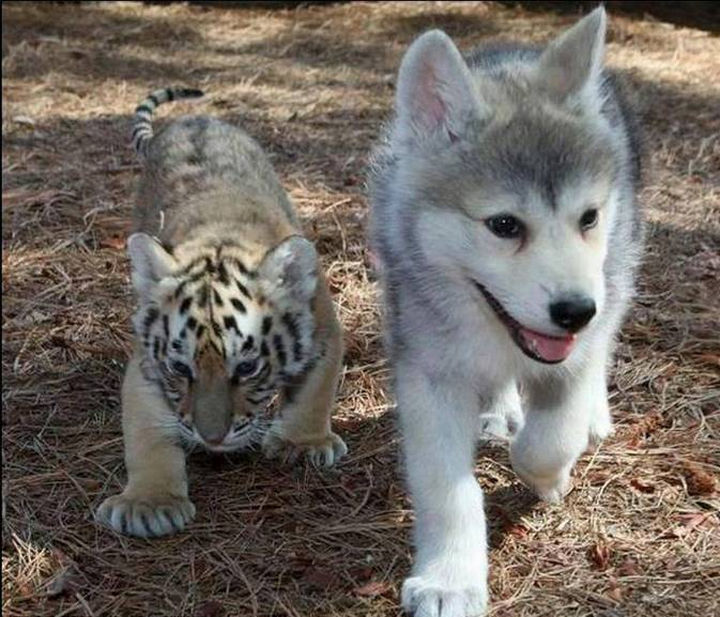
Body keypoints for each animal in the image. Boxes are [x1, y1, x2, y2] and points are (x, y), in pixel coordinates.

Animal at [368, 7, 644, 612]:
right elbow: (446, 488)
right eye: (503, 225)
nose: (575, 312)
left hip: (619, 269)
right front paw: (450, 579)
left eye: (588, 217)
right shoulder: (428, 371)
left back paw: (594, 416)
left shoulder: (577, 345)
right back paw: (498, 410)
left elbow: (549, 437)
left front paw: (547, 477)